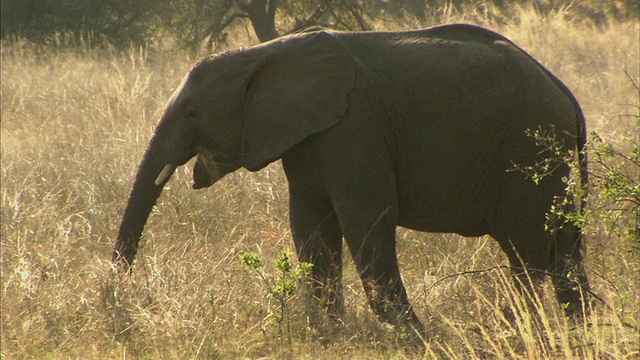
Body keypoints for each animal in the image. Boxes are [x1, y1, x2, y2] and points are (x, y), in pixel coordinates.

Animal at [114, 23, 592, 340]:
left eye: (192, 112)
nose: (121, 296)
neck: (261, 54)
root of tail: (567, 94)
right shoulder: (309, 136)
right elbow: (309, 225)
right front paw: (329, 334)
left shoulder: (354, 128)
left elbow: (365, 221)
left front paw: (419, 341)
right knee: (564, 252)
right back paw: (582, 332)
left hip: (527, 150)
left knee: (527, 253)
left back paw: (509, 333)